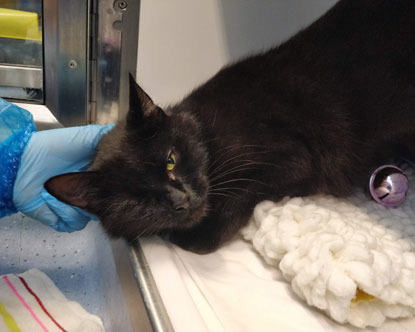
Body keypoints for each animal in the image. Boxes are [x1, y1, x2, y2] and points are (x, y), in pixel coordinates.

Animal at [45, 0, 415, 253]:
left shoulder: (295, 156)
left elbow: (225, 209)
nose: (182, 200)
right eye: (138, 200)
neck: (209, 136)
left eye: (170, 160)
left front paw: (196, 232)